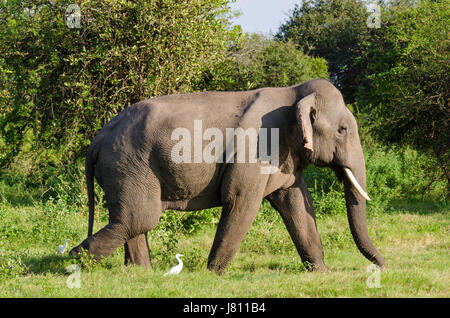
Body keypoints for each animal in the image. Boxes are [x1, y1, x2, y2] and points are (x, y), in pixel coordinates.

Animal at [68, 78, 384, 272]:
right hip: (128, 165)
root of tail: (97, 139)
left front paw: (320, 272)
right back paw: (72, 261)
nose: (381, 265)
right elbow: (242, 202)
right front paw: (212, 273)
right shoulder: (256, 149)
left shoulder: (283, 158)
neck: (293, 92)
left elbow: (296, 203)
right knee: (139, 219)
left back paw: (141, 273)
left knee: (133, 221)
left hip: (126, 169)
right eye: (343, 130)